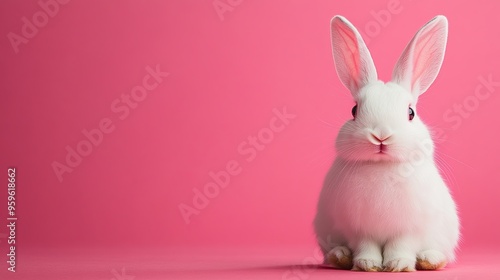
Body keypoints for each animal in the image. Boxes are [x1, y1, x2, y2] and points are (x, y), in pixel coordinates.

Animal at [314, 14, 458, 272]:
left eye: (411, 112)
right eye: (354, 110)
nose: (381, 136)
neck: (381, 167)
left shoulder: (409, 228)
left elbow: (401, 245)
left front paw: (398, 265)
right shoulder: (359, 229)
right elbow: (366, 245)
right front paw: (367, 264)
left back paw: (429, 259)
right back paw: (340, 256)